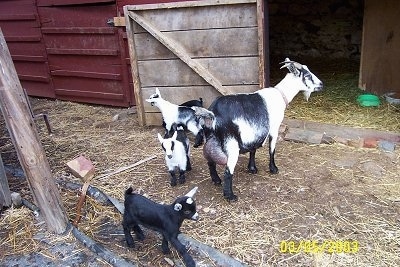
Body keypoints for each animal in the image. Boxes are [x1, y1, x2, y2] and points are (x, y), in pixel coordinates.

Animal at [193, 58, 322, 201]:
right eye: (308, 75)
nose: (321, 84)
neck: (281, 94)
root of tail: (212, 113)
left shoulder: (254, 131)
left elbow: (253, 149)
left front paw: (252, 168)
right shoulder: (274, 128)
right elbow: (272, 149)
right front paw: (273, 169)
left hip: (210, 138)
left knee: (210, 161)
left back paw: (216, 180)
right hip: (231, 143)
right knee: (228, 171)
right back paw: (230, 196)